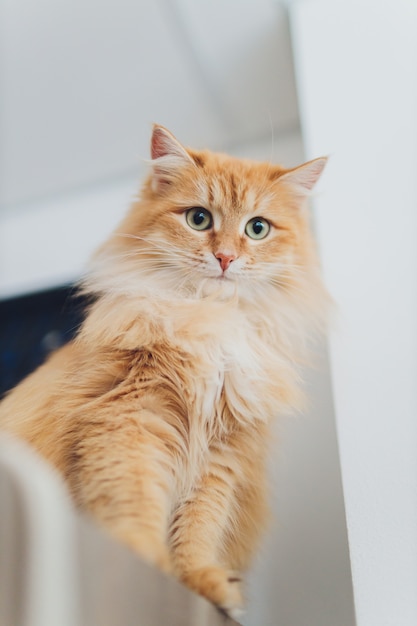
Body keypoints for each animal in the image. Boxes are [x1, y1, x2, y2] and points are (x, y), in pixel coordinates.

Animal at [0, 123, 328, 616]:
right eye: (199, 219)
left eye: (257, 228)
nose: (226, 258)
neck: (211, 323)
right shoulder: (133, 416)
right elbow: (134, 500)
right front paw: (146, 556)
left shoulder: (220, 453)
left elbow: (198, 530)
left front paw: (204, 584)